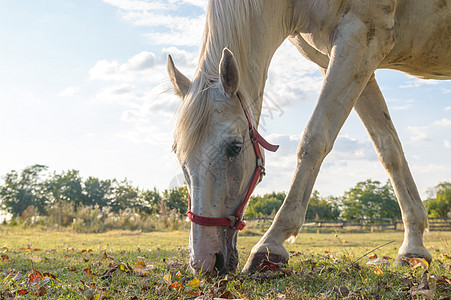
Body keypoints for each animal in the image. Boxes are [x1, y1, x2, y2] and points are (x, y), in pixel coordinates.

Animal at [168, 0, 450, 274]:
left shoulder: (360, 40)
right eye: (179, 156)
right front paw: (413, 248)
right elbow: (388, 149)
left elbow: (314, 138)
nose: (204, 262)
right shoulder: (347, 61)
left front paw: (270, 245)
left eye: (234, 148)